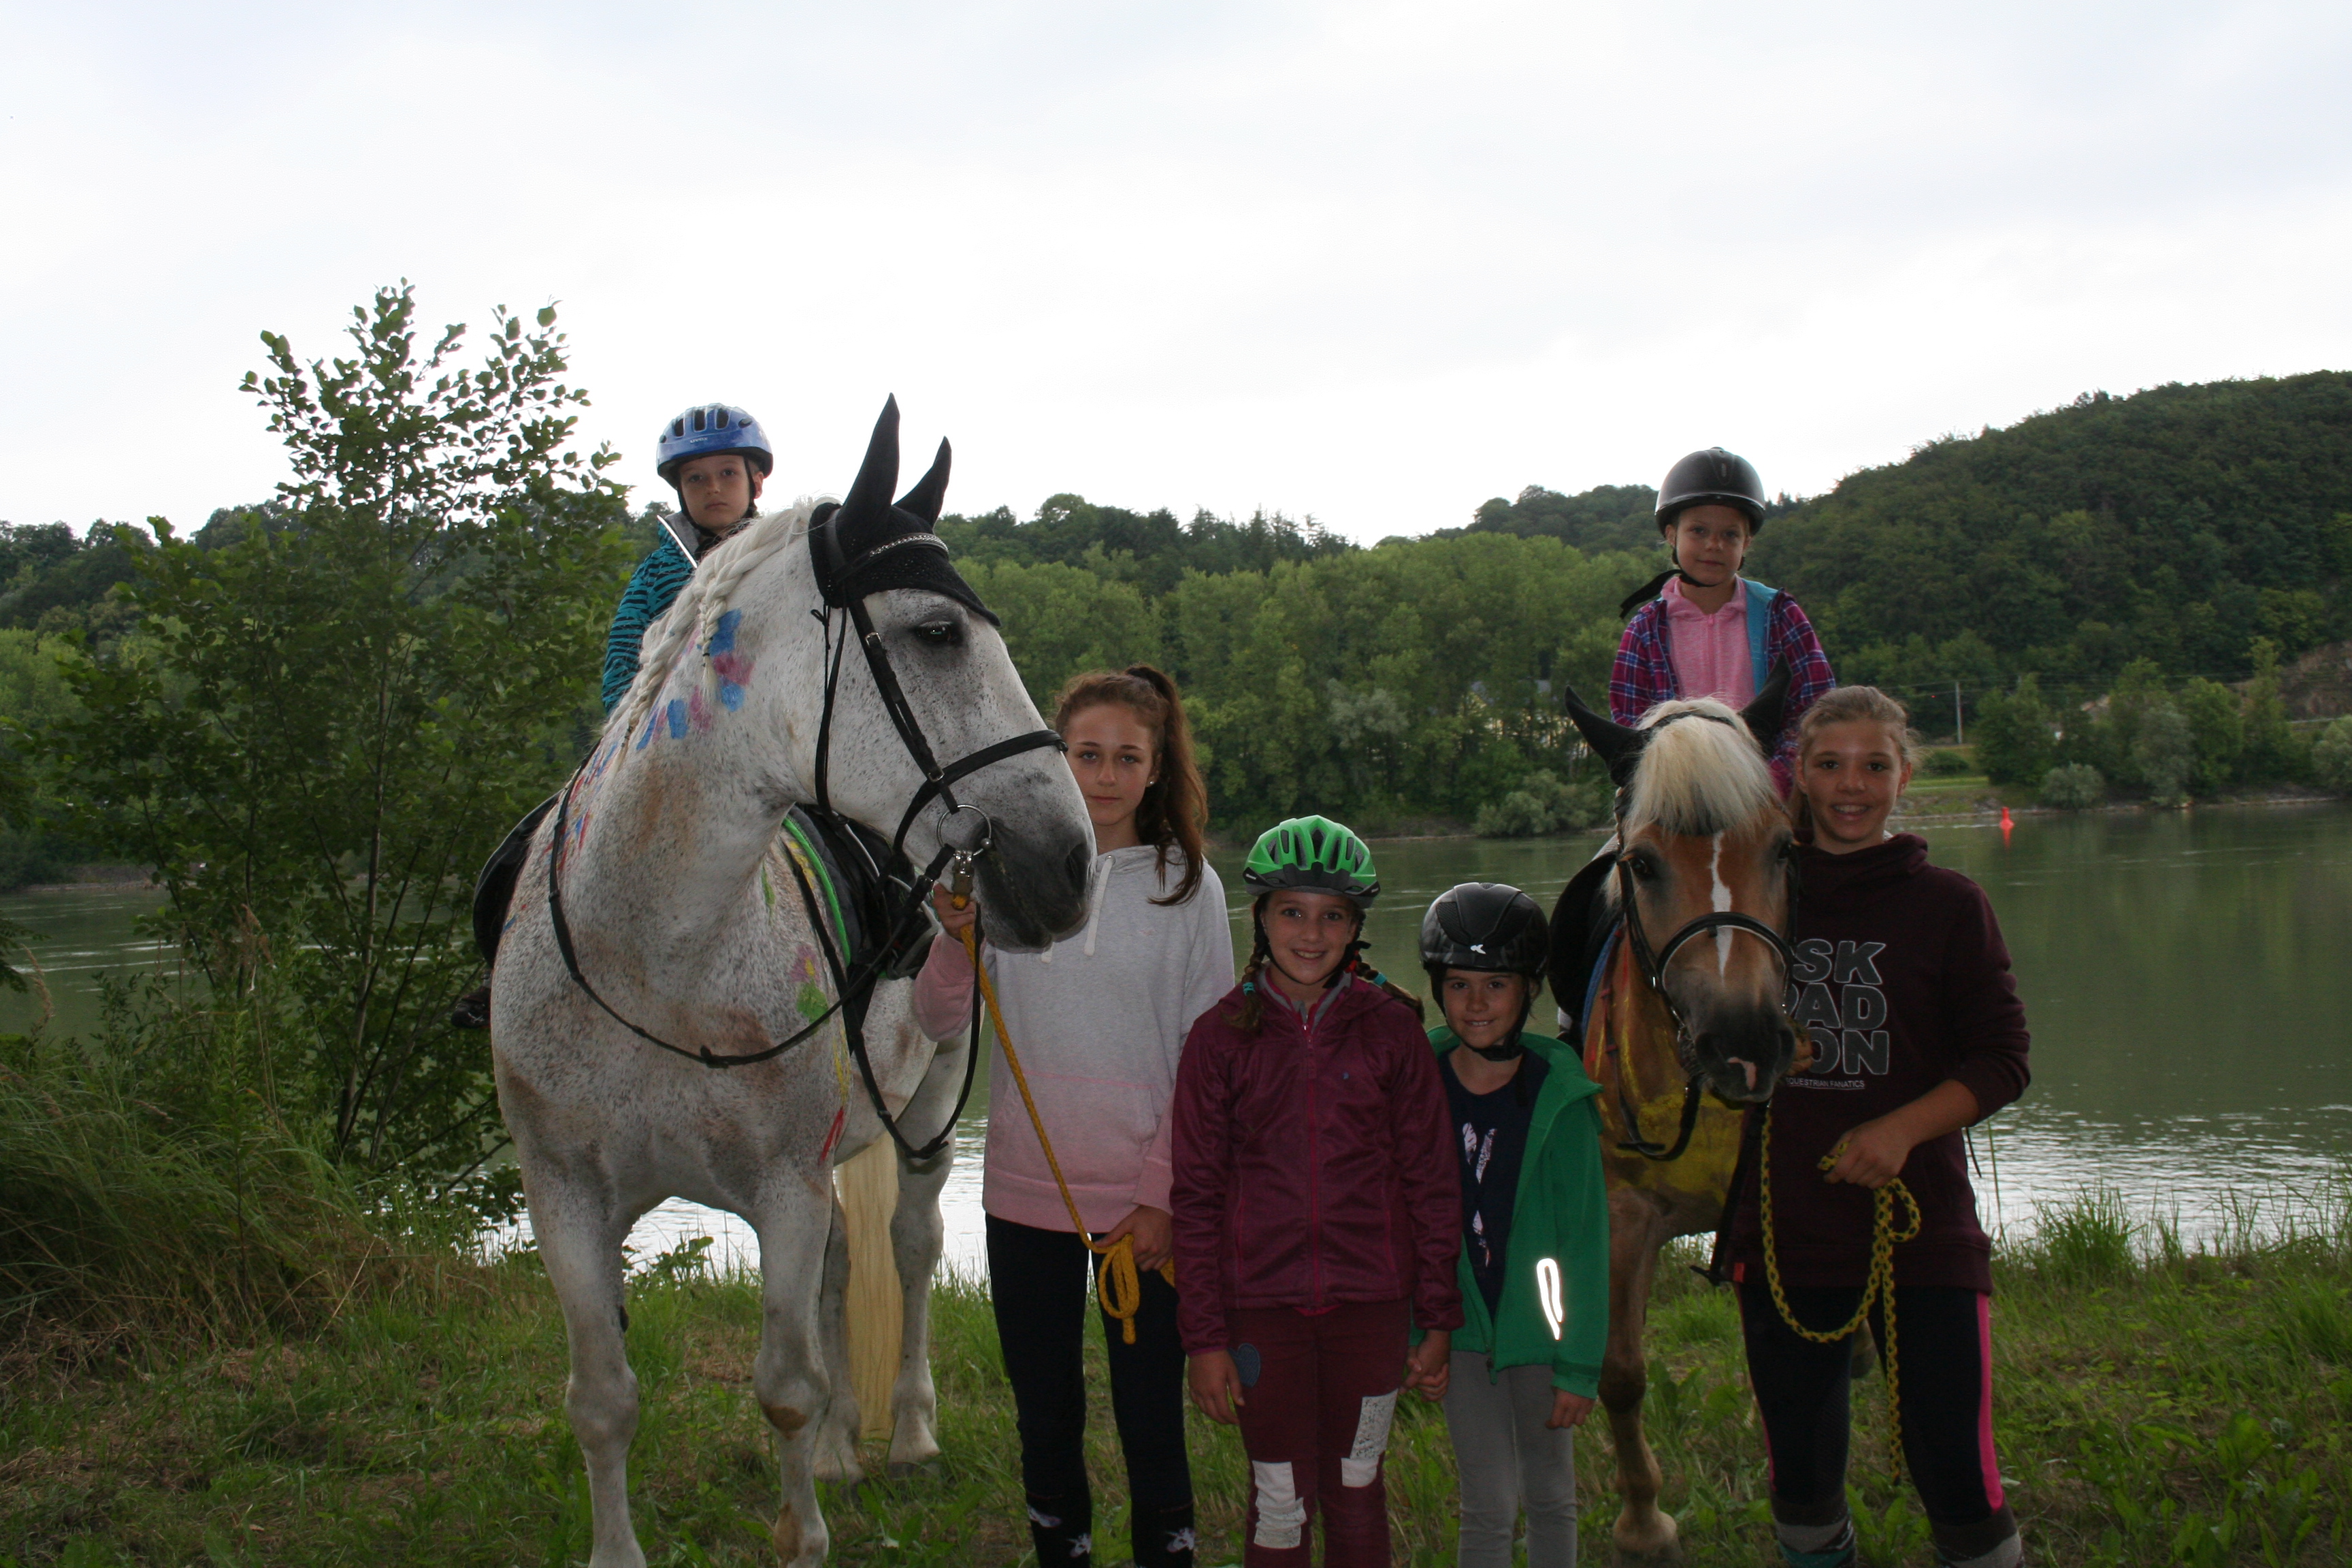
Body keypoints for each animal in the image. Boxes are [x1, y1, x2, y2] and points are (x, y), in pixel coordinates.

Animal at [493, 404, 1091, 1568]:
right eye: (938, 634)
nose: (1069, 863)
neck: (656, 958)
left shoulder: (783, 1187)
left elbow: (782, 1387)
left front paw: (803, 1527)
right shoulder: (566, 1196)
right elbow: (603, 1399)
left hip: (927, 1109)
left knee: (908, 1249)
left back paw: (904, 1433)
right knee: (844, 1268)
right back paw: (842, 1451)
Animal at [1552, 676, 1806, 1568]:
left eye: (1784, 849)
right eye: (1643, 863)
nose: (1743, 1045)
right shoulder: (1623, 1215)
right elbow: (1622, 1372)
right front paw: (1644, 1523)